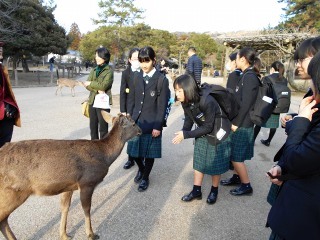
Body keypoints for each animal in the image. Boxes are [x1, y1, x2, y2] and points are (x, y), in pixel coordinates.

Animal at [0, 111, 141, 239]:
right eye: (134, 123)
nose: (141, 131)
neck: (104, 156)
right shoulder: (87, 182)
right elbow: (86, 209)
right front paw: (91, 234)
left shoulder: (68, 185)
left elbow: (65, 207)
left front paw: (64, 234)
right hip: (14, 190)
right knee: (3, 217)